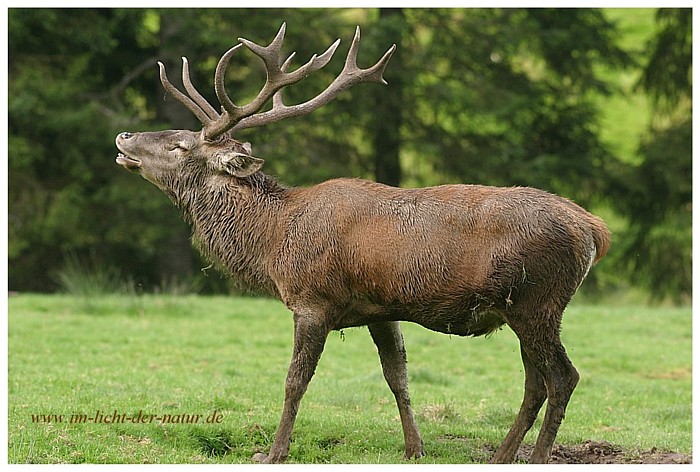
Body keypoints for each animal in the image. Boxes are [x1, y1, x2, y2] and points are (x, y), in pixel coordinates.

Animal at [115, 24, 608, 462]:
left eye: (180, 146)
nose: (124, 135)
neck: (273, 241)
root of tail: (593, 228)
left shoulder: (312, 300)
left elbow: (295, 380)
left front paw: (273, 452)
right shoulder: (380, 308)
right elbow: (397, 376)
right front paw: (414, 447)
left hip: (538, 300)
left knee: (563, 377)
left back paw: (538, 456)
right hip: (522, 309)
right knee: (535, 382)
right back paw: (503, 455)